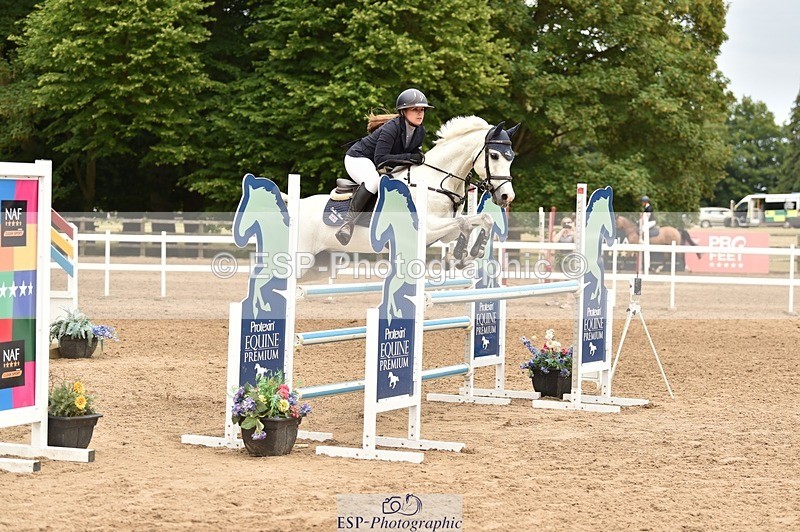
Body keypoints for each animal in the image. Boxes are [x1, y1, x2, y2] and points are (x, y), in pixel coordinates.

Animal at [296, 116, 519, 277]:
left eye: (511, 158)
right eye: (494, 156)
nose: (507, 196)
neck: (436, 182)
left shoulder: (446, 233)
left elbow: (483, 219)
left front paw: (471, 253)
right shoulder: (426, 228)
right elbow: (464, 222)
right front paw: (460, 256)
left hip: (318, 265)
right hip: (302, 259)